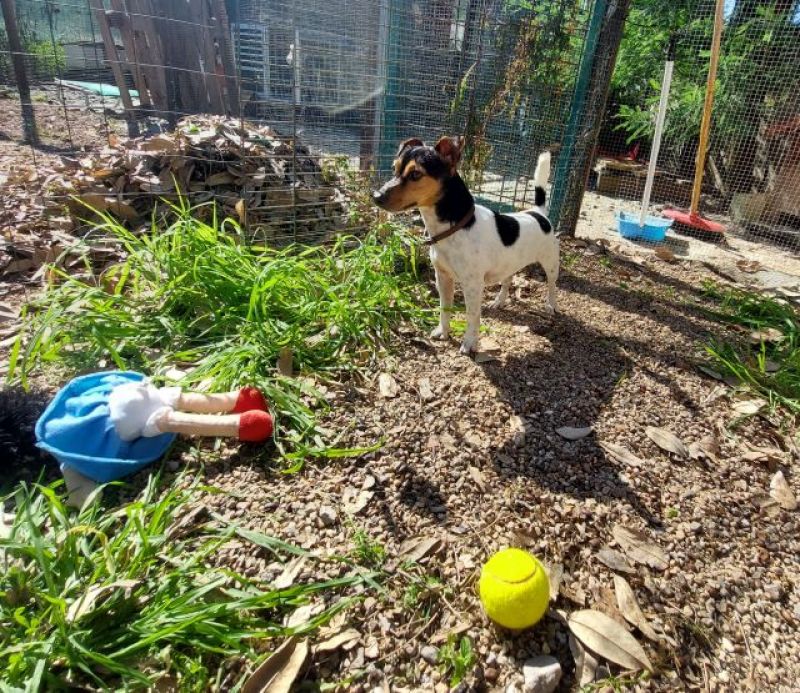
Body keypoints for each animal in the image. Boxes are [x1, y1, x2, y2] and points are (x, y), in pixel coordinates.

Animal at [370, 136, 552, 354]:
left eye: (416, 174)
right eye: (394, 168)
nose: (376, 196)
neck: (454, 227)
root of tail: (538, 213)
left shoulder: (472, 284)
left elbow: (472, 316)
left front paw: (470, 343)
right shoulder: (443, 277)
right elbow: (444, 308)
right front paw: (443, 331)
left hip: (552, 263)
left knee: (552, 286)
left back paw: (551, 307)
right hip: (509, 264)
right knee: (508, 280)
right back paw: (499, 301)